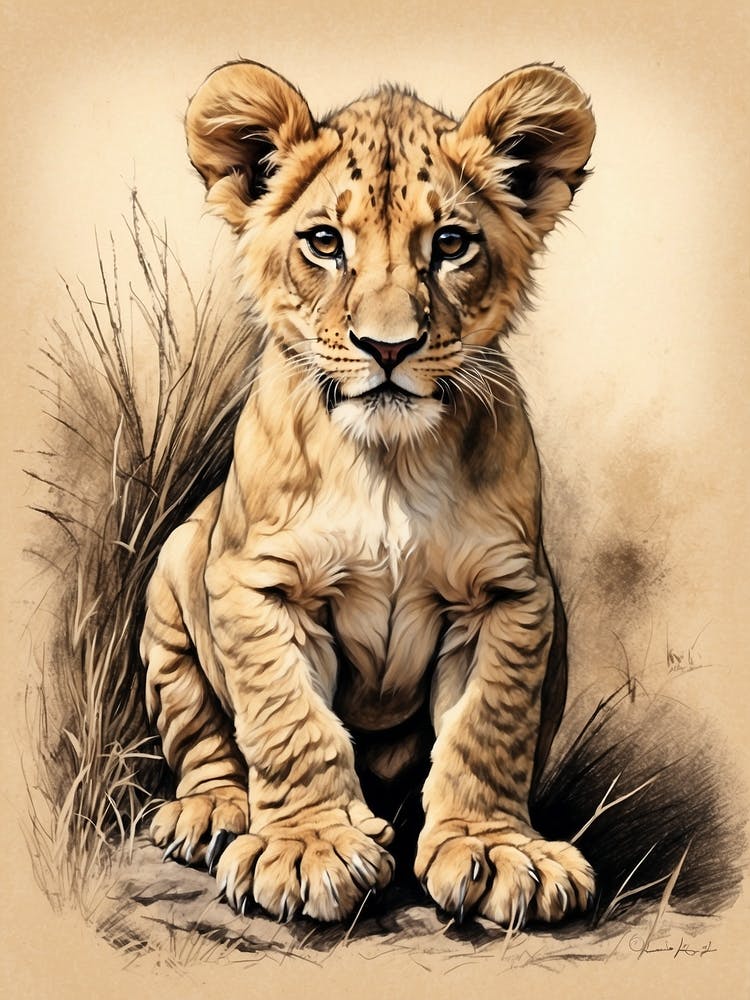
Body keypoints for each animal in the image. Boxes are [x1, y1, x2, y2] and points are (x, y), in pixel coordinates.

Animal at [140, 59, 597, 927]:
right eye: (325, 242)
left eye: (450, 243)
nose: (389, 348)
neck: (387, 462)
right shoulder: (257, 583)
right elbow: (289, 722)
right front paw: (306, 848)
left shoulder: (509, 592)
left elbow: (490, 727)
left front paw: (495, 849)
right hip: (176, 577)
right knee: (201, 734)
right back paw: (210, 811)